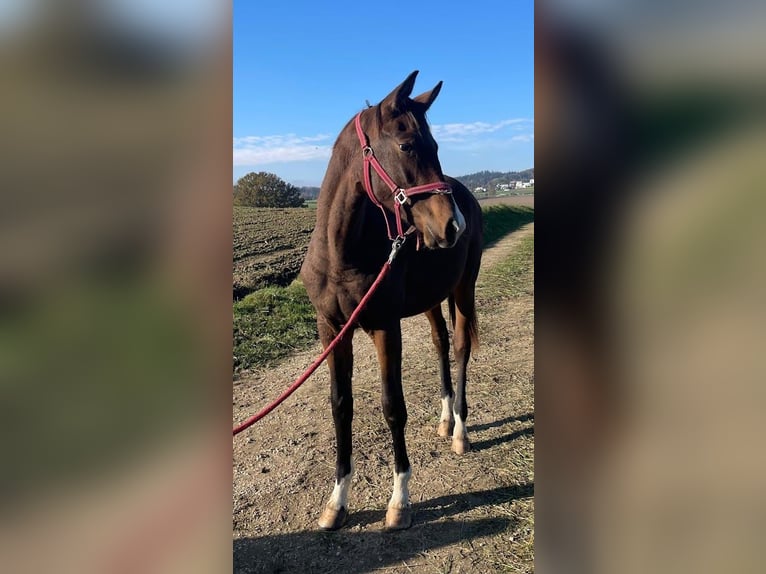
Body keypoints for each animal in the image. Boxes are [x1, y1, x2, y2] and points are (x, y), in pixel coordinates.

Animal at [298, 70, 484, 532]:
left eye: (436, 146)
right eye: (407, 145)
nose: (452, 225)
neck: (342, 252)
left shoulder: (385, 326)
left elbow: (392, 406)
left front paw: (399, 501)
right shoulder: (332, 329)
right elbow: (340, 406)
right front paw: (337, 501)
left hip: (463, 287)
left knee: (459, 347)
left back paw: (460, 431)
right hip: (432, 298)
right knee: (439, 344)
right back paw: (445, 419)